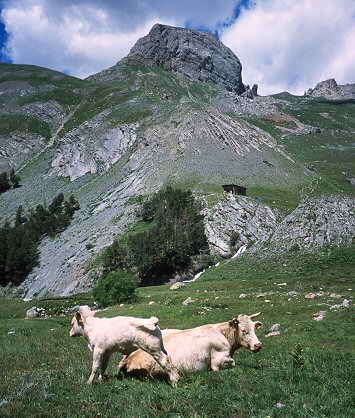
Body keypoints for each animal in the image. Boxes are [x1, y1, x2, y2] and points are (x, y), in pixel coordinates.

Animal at [119, 312, 264, 378]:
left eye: (254, 328)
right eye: (244, 330)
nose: (258, 345)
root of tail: (129, 359)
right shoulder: (217, 362)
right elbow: (232, 364)